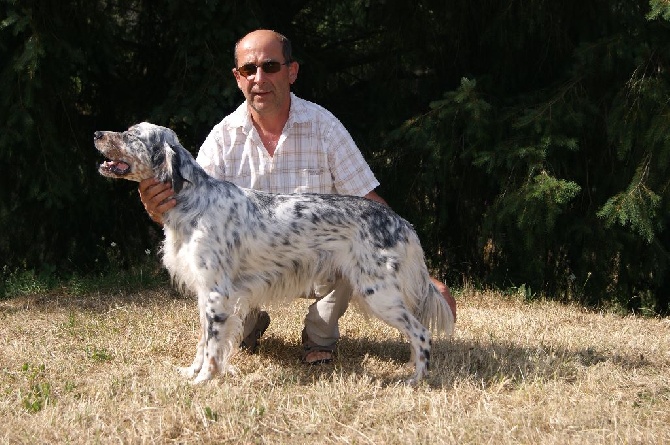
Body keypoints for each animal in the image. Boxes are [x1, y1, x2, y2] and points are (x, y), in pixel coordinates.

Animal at [93, 122, 456, 386]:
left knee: (421, 334)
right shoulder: (205, 293)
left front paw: (203, 380)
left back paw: (415, 379)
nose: (96, 133)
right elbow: (202, 341)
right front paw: (191, 372)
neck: (192, 200)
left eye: (131, 135)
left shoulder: (216, 293)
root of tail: (401, 221)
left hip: (379, 293)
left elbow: (211, 345)